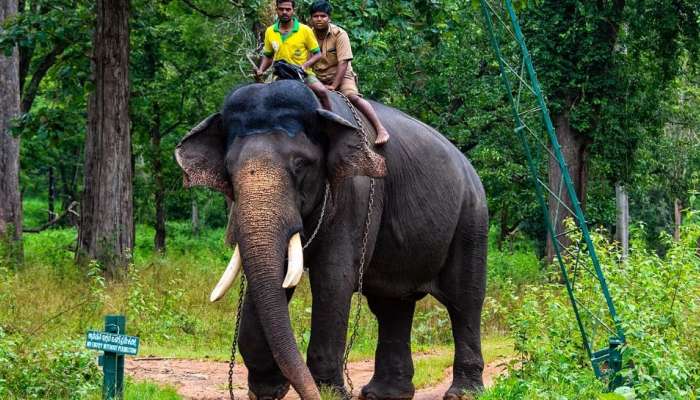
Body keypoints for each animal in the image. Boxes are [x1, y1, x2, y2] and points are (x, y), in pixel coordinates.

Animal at [175, 79, 486, 398]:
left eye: (300, 164)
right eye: (228, 168)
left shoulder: (356, 193)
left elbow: (333, 278)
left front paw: (328, 393)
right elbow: (273, 279)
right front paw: (267, 391)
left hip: (471, 219)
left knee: (464, 300)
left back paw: (463, 392)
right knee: (391, 304)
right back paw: (382, 394)